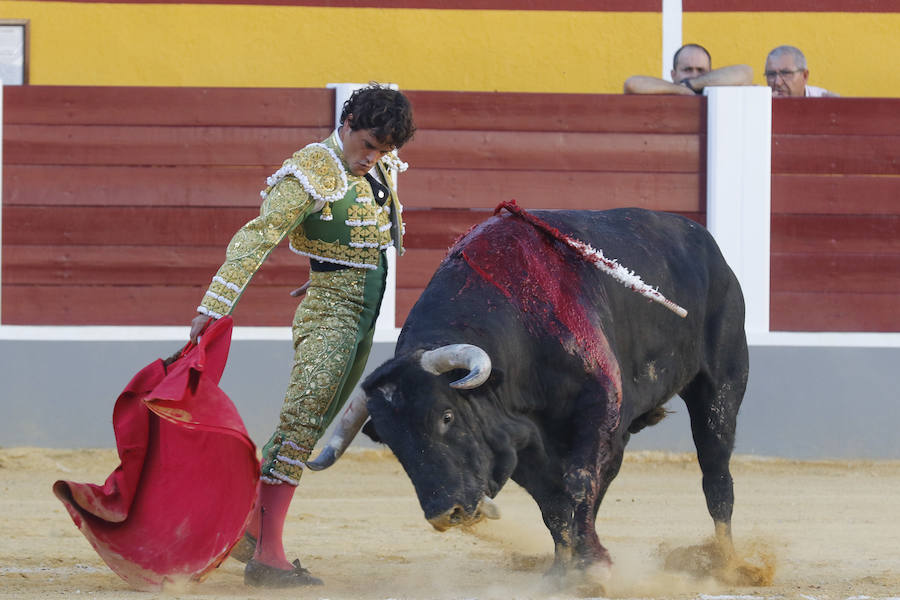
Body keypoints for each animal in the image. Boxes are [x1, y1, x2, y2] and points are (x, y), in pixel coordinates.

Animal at [306, 206, 748, 576]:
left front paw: (593, 565)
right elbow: (553, 504)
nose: (445, 513)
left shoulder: (599, 407)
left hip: (720, 387)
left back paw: (727, 563)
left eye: (446, 416)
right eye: (392, 443)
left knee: (715, 475)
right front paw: (565, 571)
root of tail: (704, 242)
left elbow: (578, 483)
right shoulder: (520, 442)